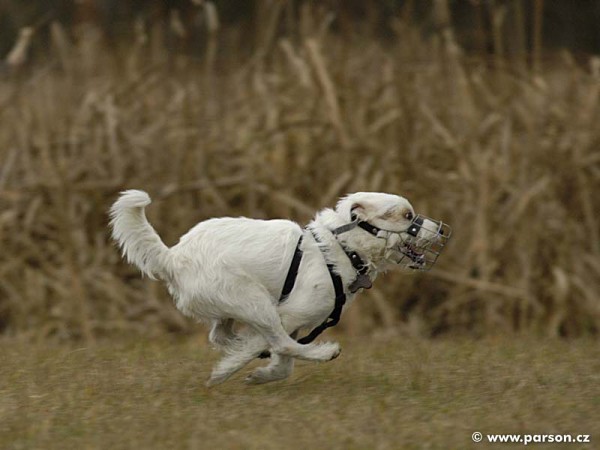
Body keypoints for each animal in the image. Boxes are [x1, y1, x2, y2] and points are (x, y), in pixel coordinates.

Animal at [109, 191, 450, 386]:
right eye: (406, 215)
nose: (441, 229)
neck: (341, 247)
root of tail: (173, 257)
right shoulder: (290, 315)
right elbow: (284, 349)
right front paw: (235, 370)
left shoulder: (296, 322)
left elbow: (280, 361)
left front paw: (256, 372)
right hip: (253, 300)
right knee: (277, 342)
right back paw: (324, 352)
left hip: (235, 307)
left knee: (221, 335)